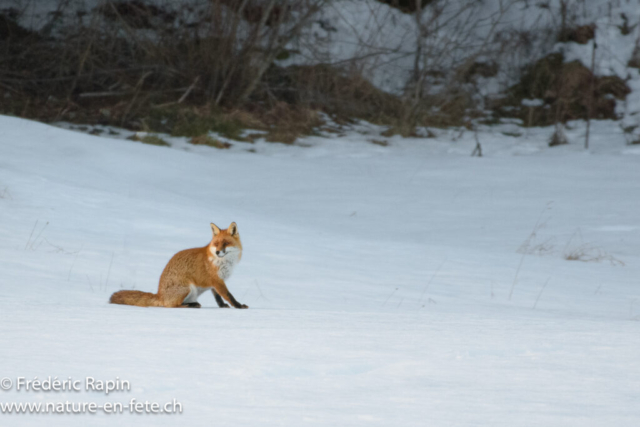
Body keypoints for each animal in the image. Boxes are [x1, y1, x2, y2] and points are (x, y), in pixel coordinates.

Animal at [109, 222, 248, 309]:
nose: (218, 252)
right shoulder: (216, 280)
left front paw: (223, 306)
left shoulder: (215, 282)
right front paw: (239, 306)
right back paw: (191, 306)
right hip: (188, 288)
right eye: (216, 244)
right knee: (171, 305)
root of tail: (159, 294)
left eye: (225, 243)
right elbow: (228, 295)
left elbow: (218, 298)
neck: (223, 262)